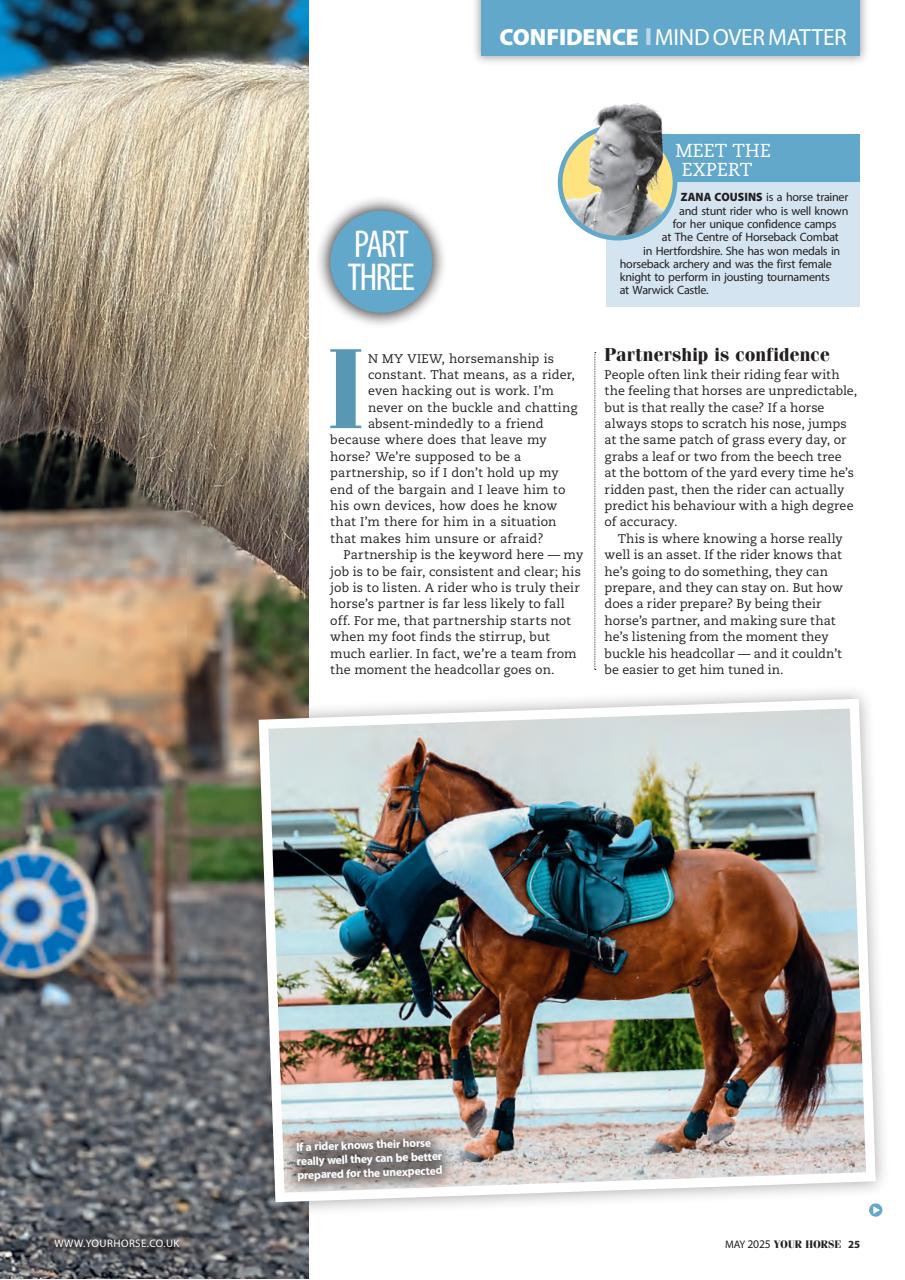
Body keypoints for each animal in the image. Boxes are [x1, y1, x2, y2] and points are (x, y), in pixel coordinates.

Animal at [367, 739, 837, 1161]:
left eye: (395, 804)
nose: (374, 865)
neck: (501, 866)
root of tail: (781, 893)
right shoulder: (498, 992)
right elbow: (458, 1028)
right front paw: (471, 1108)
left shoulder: (520, 996)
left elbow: (508, 1066)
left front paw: (494, 1140)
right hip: (705, 987)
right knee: (721, 1058)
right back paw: (682, 1134)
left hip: (739, 987)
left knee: (769, 1042)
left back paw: (723, 1113)